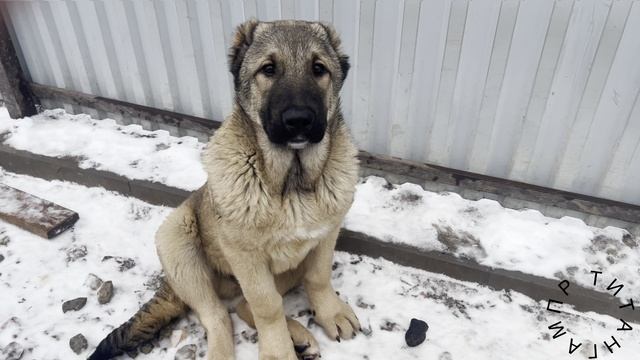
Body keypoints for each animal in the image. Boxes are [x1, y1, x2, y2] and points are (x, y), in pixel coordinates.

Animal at [89, 19, 360, 360]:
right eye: (268, 69)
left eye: (319, 68)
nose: (299, 120)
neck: (292, 181)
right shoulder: (245, 256)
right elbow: (266, 305)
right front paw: (278, 351)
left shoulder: (325, 236)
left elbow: (319, 277)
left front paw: (329, 313)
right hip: (177, 238)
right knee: (218, 315)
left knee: (242, 306)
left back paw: (298, 336)